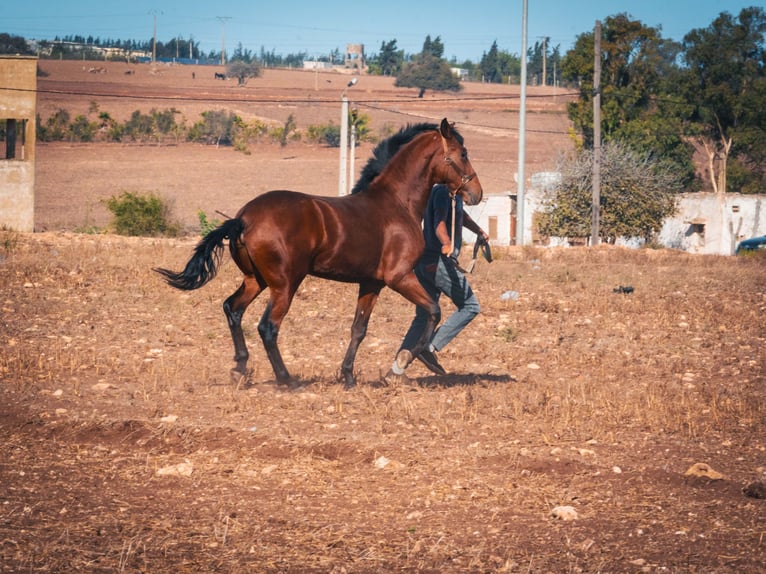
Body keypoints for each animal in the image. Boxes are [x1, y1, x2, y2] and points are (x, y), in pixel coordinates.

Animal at [153, 118, 484, 390]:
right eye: (462, 154)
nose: (477, 194)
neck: (396, 204)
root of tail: (243, 218)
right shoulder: (399, 277)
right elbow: (433, 311)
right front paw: (410, 359)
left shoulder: (371, 284)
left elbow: (358, 329)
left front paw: (348, 376)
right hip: (285, 285)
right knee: (267, 327)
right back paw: (286, 379)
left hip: (255, 280)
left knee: (232, 310)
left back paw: (240, 368)